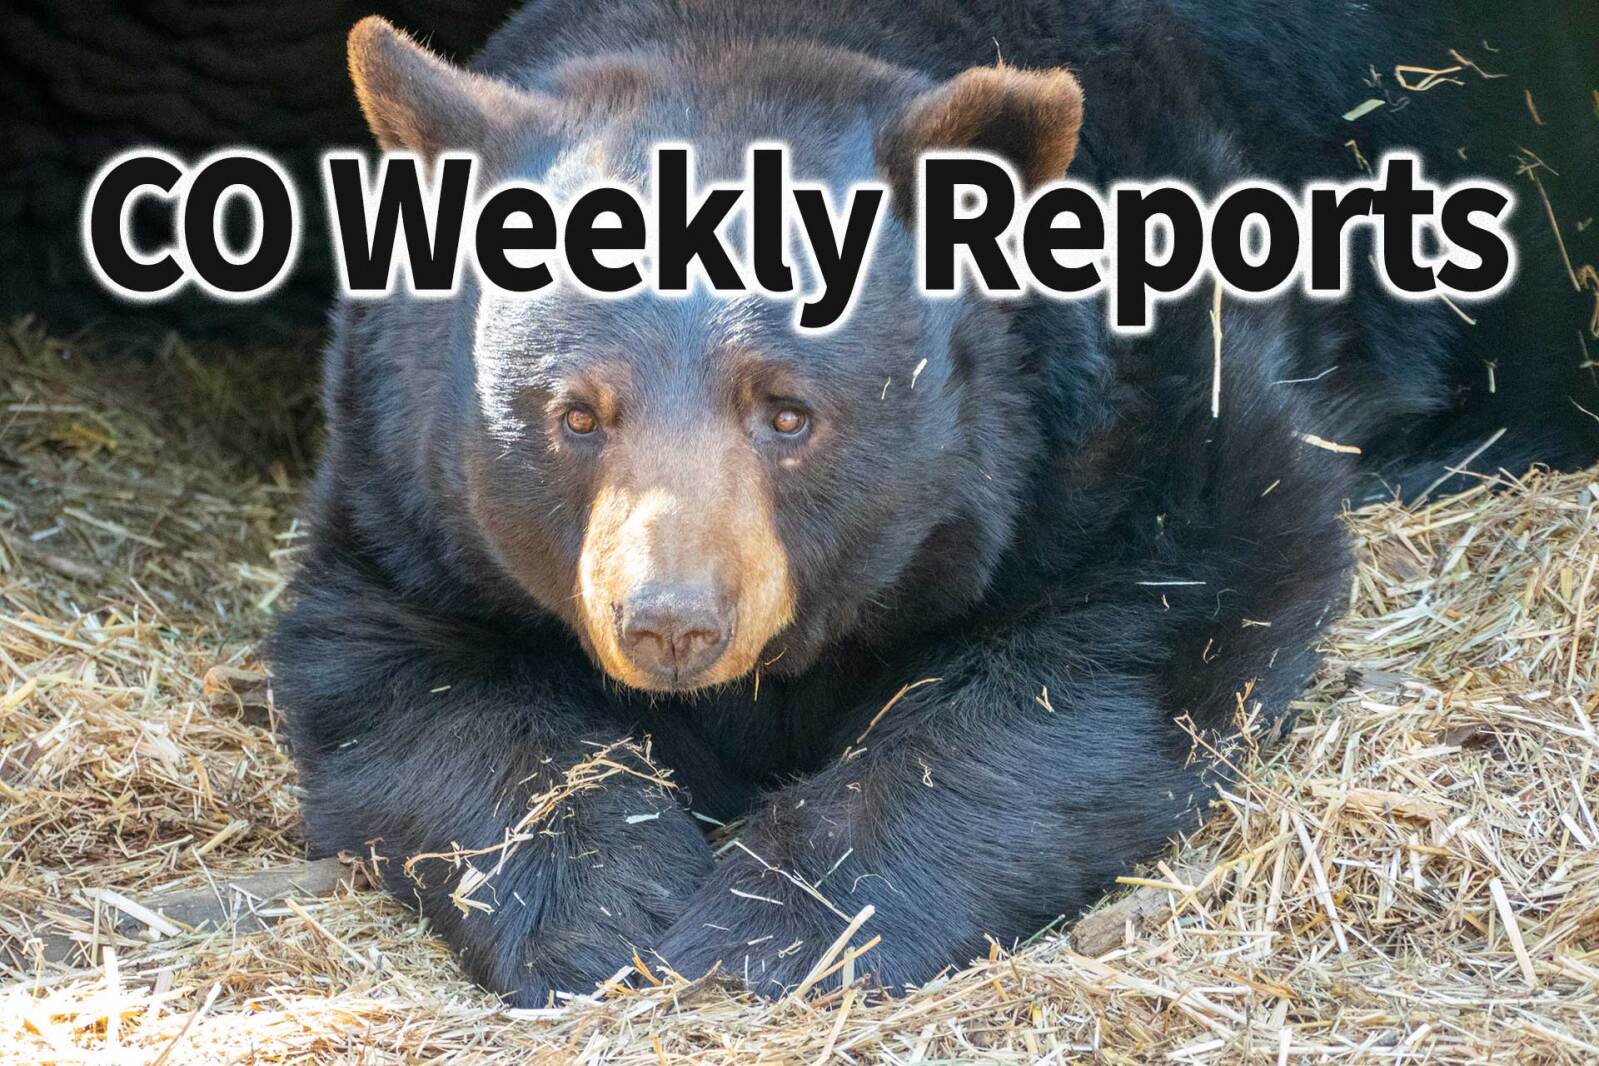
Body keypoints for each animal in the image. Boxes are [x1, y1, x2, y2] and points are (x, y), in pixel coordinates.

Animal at [270, 0, 1599, 1005]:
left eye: (787, 411)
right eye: (576, 414)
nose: (671, 622)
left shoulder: (1142, 403)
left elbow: (1128, 629)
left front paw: (773, 924)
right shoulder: (397, 480)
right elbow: (403, 675)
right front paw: (602, 906)